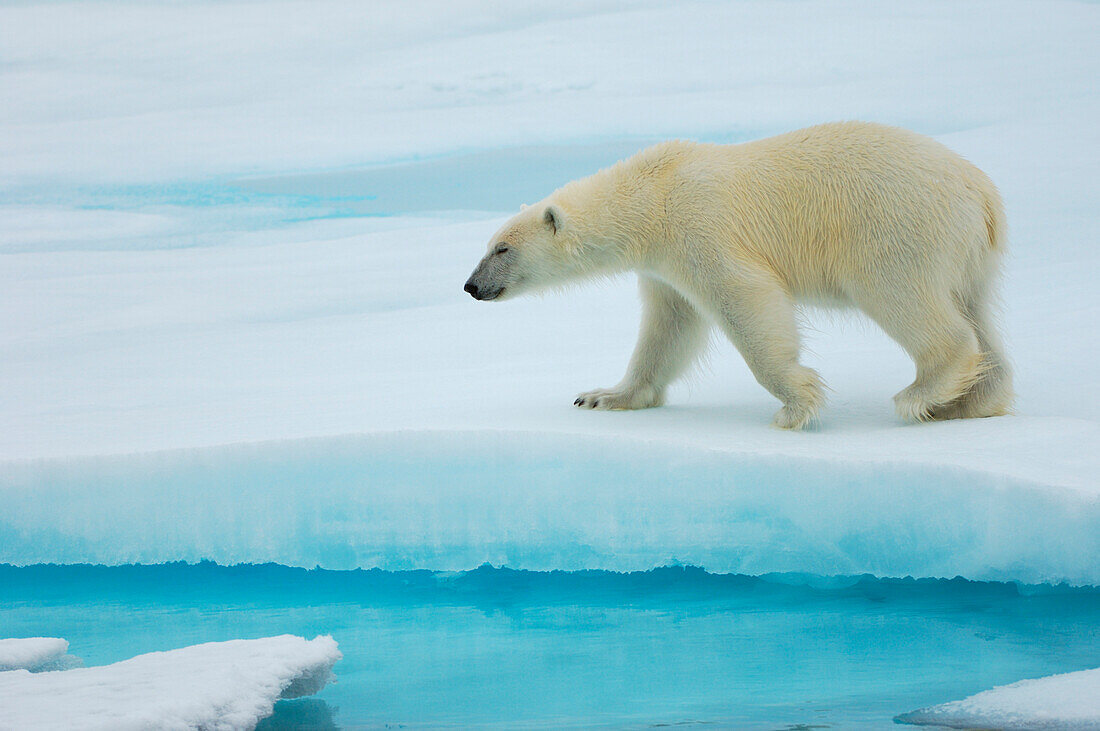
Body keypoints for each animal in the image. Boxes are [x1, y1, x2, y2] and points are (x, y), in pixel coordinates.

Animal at [459, 120, 1007, 428]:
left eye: (502, 248)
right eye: (487, 245)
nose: (471, 286)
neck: (651, 195)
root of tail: (981, 191)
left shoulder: (699, 227)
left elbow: (745, 300)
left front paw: (796, 404)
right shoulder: (663, 266)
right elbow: (668, 327)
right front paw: (602, 396)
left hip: (895, 228)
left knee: (906, 299)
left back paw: (922, 394)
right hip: (969, 254)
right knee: (977, 312)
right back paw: (970, 402)